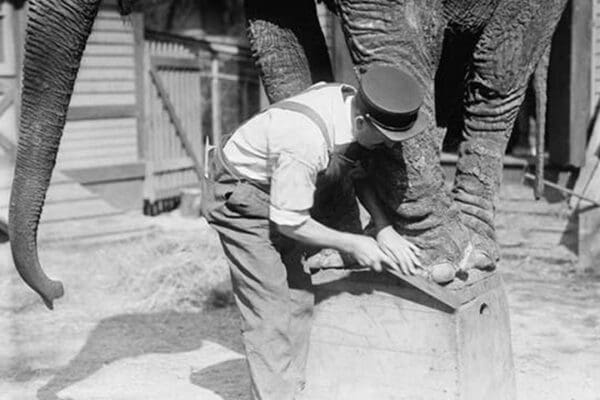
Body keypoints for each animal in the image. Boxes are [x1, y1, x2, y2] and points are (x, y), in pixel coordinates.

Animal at [9, 0, 568, 310]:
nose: (56, 291)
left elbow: (403, 35)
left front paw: (439, 265)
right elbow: (282, 37)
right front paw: (351, 253)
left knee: (499, 69)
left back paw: (477, 253)